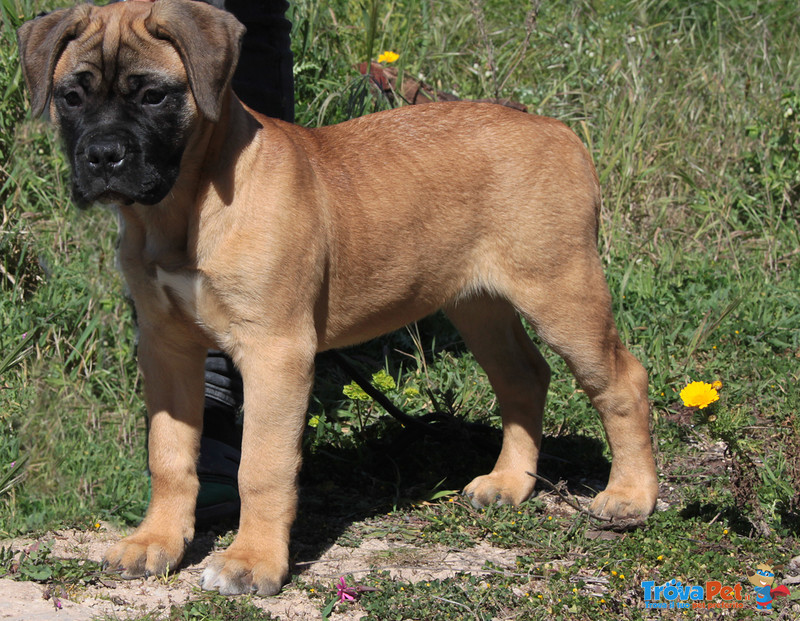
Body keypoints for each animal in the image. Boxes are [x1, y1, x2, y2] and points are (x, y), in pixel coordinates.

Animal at [17, 0, 656, 596]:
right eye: (71, 98)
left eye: (153, 97)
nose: (103, 157)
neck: (184, 206)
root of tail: (555, 129)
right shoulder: (166, 347)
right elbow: (170, 454)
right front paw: (155, 543)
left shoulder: (276, 352)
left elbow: (262, 466)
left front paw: (252, 563)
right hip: (477, 302)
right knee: (524, 377)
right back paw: (509, 484)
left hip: (562, 292)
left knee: (621, 380)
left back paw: (630, 495)